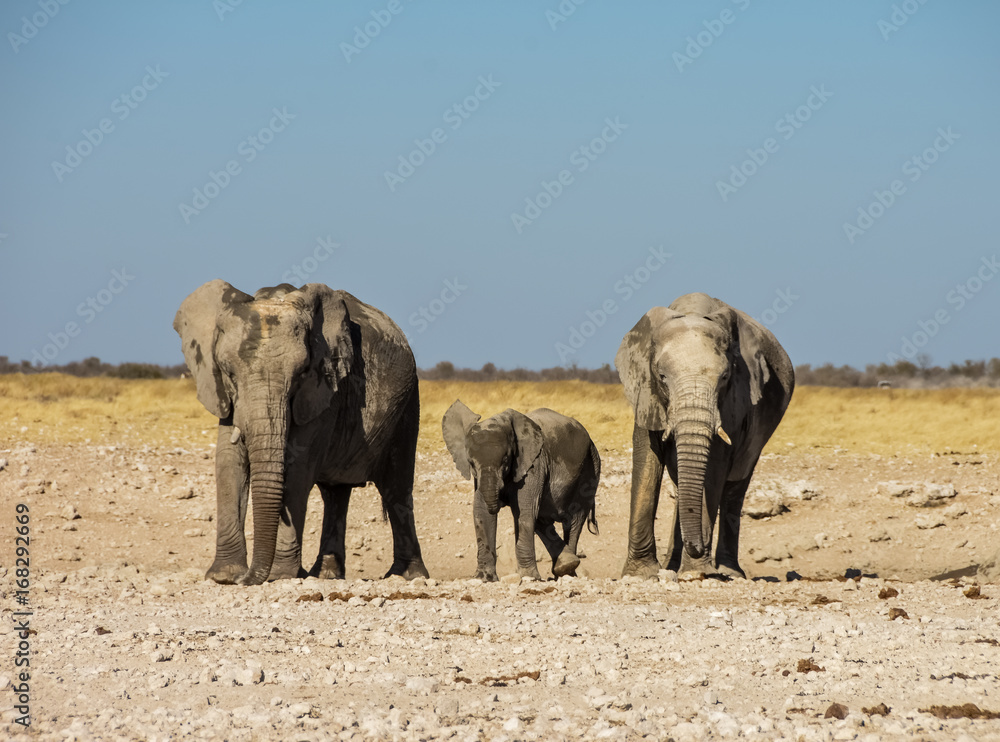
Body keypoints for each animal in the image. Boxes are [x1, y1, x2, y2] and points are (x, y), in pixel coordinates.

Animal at [174, 280, 428, 588]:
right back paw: (326, 575)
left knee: (396, 489)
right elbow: (228, 463)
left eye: (302, 373)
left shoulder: (323, 390)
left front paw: (279, 576)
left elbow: (297, 470)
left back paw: (407, 576)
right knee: (335, 493)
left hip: (407, 404)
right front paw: (224, 576)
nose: (247, 580)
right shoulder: (224, 396)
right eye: (228, 373)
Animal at [442, 402, 596, 580]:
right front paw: (484, 579)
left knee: (573, 521)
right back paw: (565, 565)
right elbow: (481, 511)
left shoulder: (534, 463)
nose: (500, 500)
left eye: (506, 460)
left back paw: (568, 573)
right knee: (542, 519)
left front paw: (530, 578)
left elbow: (524, 511)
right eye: (471, 463)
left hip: (589, 470)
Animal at [612, 292, 792, 580]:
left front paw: (696, 572)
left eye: (725, 377)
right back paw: (674, 565)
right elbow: (647, 462)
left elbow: (714, 471)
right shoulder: (645, 393)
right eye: (662, 376)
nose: (696, 547)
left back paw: (730, 572)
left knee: (735, 487)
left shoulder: (732, 403)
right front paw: (641, 574)